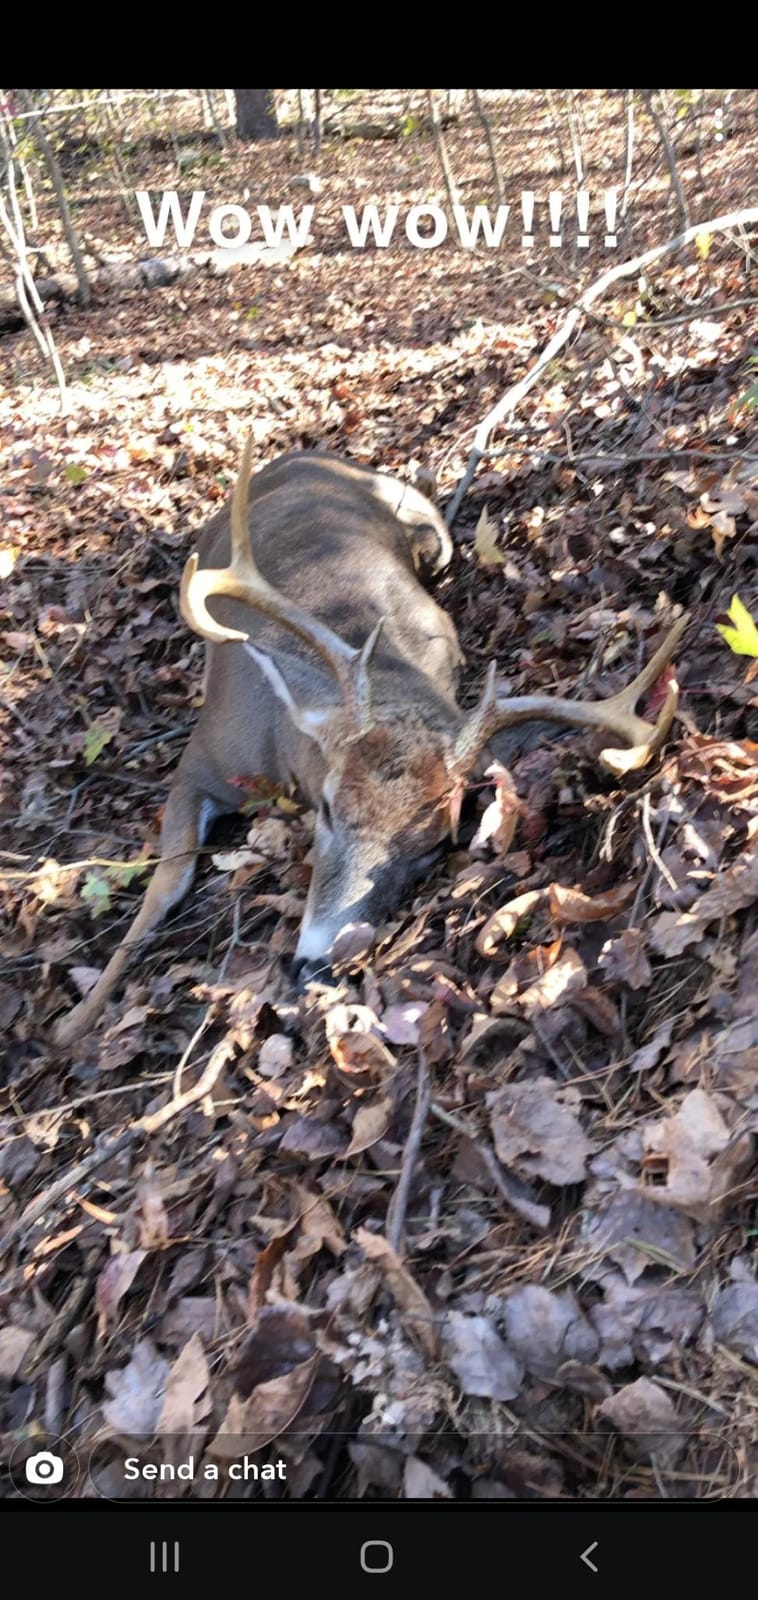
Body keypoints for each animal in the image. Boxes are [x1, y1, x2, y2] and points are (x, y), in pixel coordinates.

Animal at [52, 435, 688, 1046]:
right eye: (329, 809)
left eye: (433, 845)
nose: (316, 966)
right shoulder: (201, 759)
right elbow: (166, 884)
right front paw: (76, 1022)